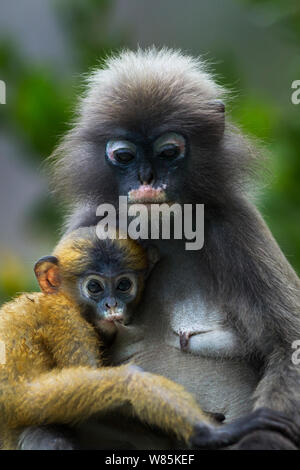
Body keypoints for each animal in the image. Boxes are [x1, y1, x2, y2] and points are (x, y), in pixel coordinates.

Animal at [0, 229, 288, 452]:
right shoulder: (65, 319)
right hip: (19, 400)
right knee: (129, 380)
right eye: (94, 287)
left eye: (123, 285)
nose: (112, 305)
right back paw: (205, 433)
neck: (62, 298)